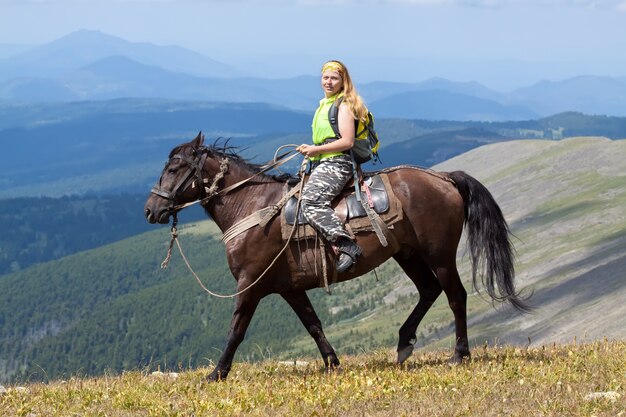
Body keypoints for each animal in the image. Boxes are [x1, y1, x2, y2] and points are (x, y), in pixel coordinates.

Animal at [143, 133, 528, 380]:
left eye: (174, 169)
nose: (151, 210)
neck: (251, 208)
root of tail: (444, 178)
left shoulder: (250, 284)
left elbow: (236, 330)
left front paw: (217, 373)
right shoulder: (289, 288)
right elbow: (313, 323)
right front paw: (332, 362)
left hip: (440, 255)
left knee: (455, 296)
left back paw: (460, 354)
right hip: (408, 254)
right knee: (429, 291)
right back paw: (404, 344)